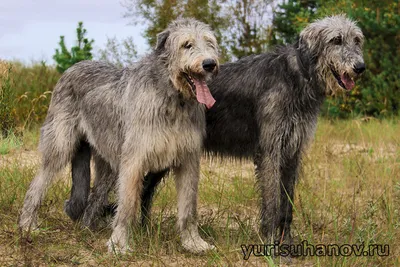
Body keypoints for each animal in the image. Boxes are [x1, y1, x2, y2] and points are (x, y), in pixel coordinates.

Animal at [18, 17, 219, 254]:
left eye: (210, 43)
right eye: (187, 44)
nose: (209, 64)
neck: (173, 98)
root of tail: (73, 67)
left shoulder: (188, 160)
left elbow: (189, 207)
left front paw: (193, 243)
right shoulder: (134, 160)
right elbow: (127, 205)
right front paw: (119, 244)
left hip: (109, 162)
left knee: (94, 196)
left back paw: (87, 229)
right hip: (61, 146)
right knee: (37, 184)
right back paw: (28, 224)